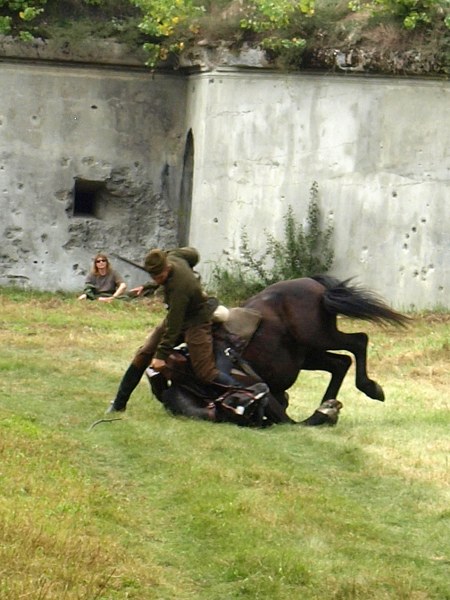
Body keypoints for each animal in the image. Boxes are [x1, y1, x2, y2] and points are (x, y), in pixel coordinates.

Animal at [148, 275, 408, 427]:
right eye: (244, 408)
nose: (261, 395)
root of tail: (311, 282)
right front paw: (328, 411)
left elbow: (292, 422)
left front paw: (327, 413)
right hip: (308, 354)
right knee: (341, 362)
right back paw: (332, 399)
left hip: (318, 336)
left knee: (359, 341)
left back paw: (370, 388)